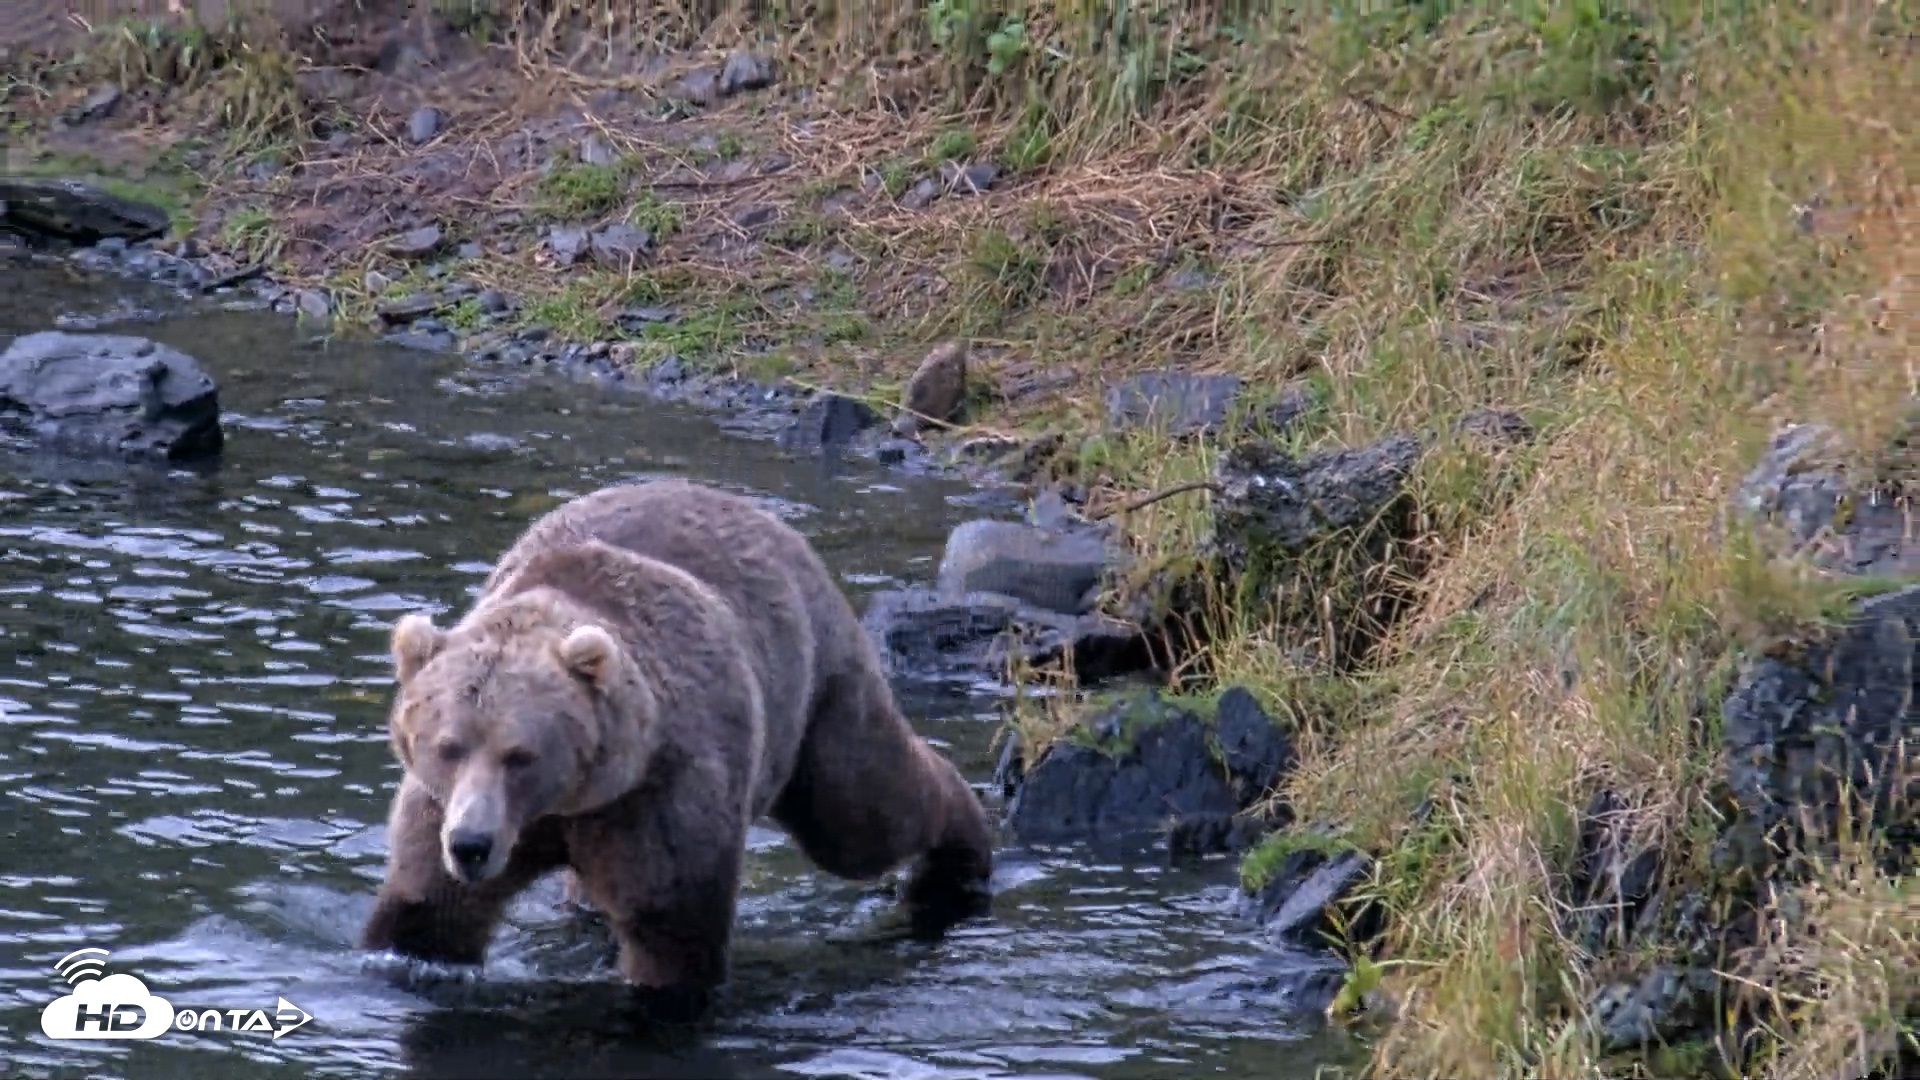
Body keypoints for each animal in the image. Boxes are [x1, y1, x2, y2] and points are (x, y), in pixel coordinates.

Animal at [359, 478, 995, 1005]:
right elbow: (429, 912)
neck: (571, 799)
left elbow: (672, 931)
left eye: (521, 755)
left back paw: (960, 856)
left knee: (861, 815)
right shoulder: (445, 808)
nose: (472, 844)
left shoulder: (661, 794)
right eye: (448, 746)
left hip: (816, 697)